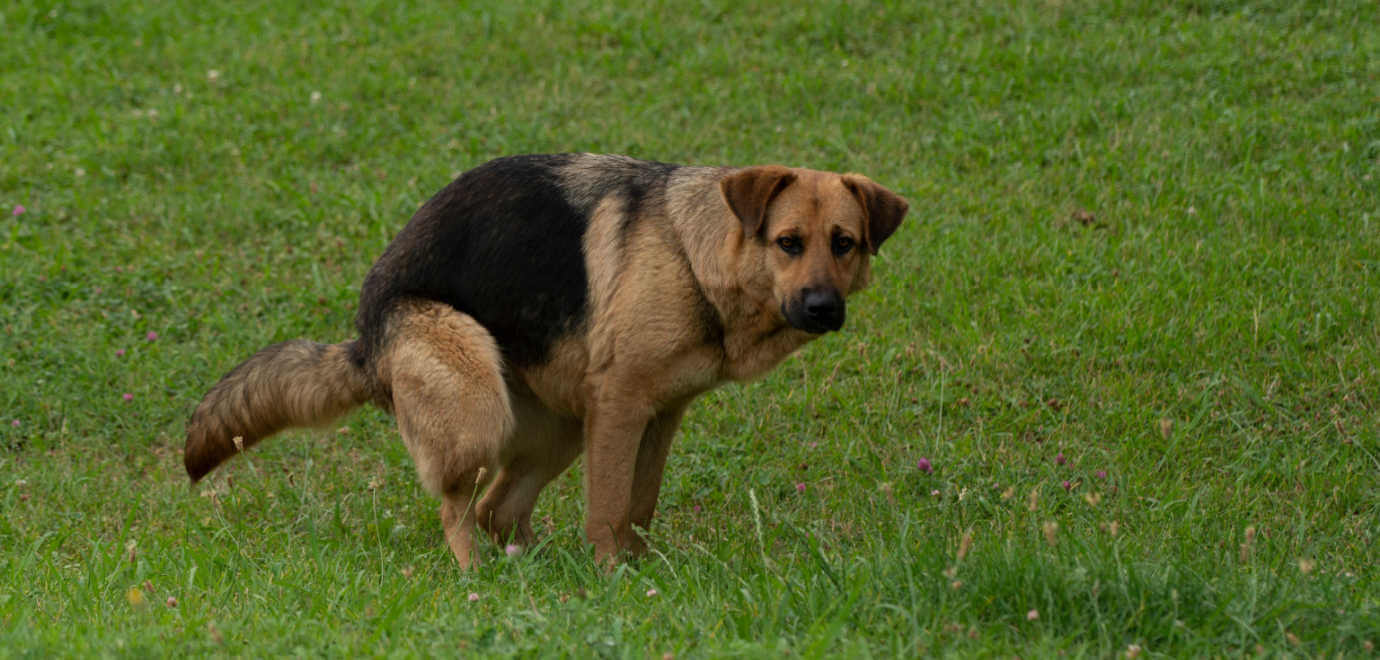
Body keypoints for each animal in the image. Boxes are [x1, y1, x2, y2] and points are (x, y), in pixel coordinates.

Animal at [186, 154, 916, 566]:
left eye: (845, 243)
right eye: (788, 242)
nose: (822, 307)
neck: (693, 252)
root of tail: (366, 343)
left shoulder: (660, 415)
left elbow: (638, 505)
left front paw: (638, 574)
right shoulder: (619, 407)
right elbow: (608, 508)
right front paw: (611, 579)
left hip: (557, 431)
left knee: (497, 510)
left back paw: (534, 574)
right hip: (477, 403)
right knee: (457, 510)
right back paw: (480, 581)